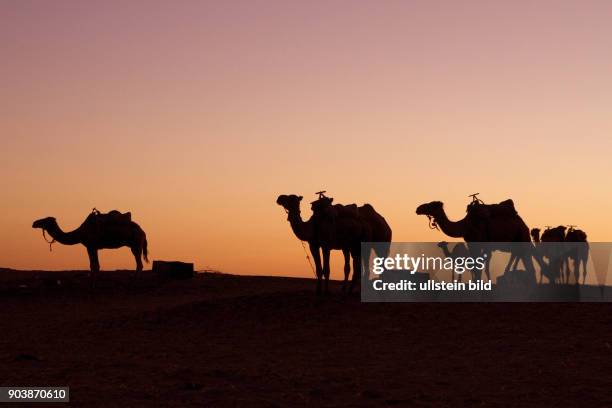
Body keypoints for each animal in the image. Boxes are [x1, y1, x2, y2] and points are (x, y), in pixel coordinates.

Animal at [414, 198, 548, 284]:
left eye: (431, 204)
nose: (418, 208)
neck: (465, 225)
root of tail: (524, 224)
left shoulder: (477, 243)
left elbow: (477, 269)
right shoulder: (470, 244)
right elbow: (475, 267)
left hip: (522, 238)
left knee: (528, 264)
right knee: (526, 263)